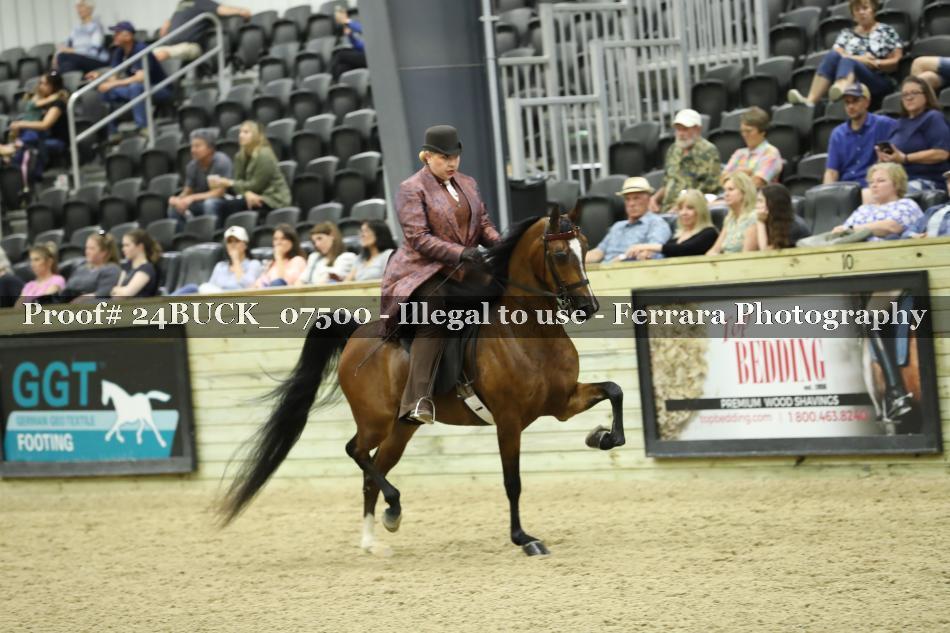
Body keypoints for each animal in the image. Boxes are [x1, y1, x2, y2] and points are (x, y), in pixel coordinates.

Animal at [221, 205, 626, 556]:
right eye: (559, 254)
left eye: (585, 246)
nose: (587, 307)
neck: (528, 333)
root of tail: (357, 335)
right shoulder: (509, 421)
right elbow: (513, 482)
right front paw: (524, 539)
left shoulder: (563, 402)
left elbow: (614, 391)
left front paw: (601, 436)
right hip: (375, 420)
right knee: (357, 453)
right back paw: (392, 509)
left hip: (401, 428)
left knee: (373, 472)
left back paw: (374, 538)